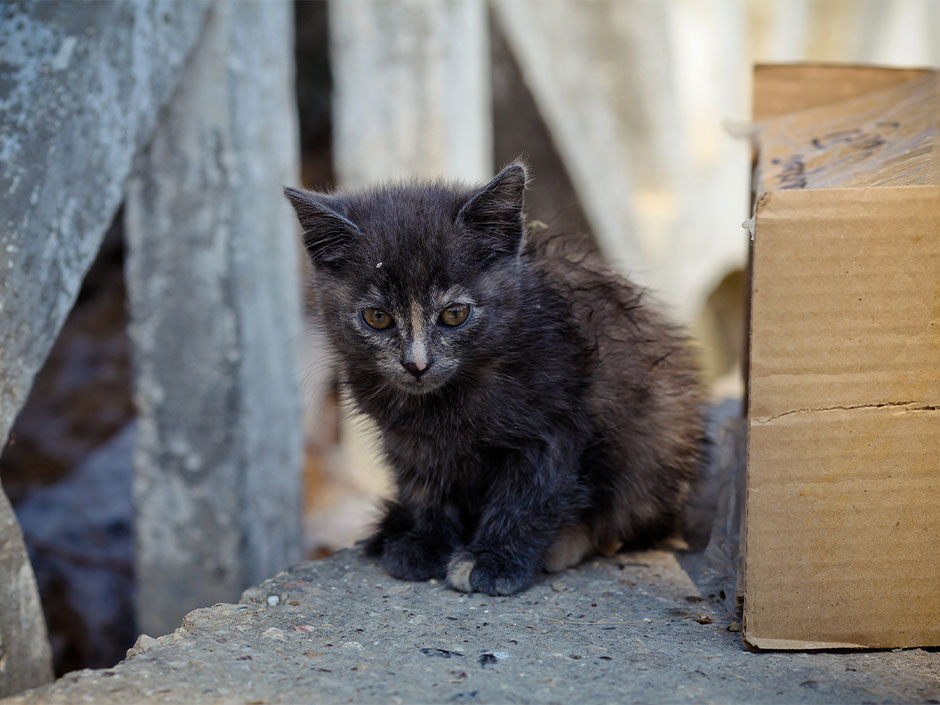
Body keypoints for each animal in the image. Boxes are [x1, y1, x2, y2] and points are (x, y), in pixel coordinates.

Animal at [286, 164, 704, 592]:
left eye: (454, 314)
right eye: (378, 318)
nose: (416, 364)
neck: (445, 401)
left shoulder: (557, 424)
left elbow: (530, 494)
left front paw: (495, 560)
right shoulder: (408, 438)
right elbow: (424, 486)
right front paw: (427, 542)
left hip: (656, 446)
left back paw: (567, 542)